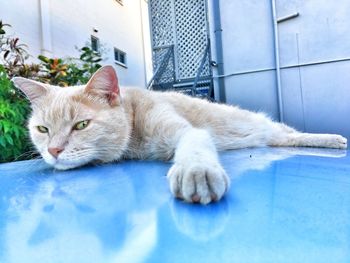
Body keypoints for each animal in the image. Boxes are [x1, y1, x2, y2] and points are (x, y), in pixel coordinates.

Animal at [13, 65, 348, 205]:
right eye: (42, 129)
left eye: (81, 125)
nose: (53, 151)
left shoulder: (184, 131)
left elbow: (194, 146)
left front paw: (197, 171)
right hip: (274, 137)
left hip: (274, 128)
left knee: (294, 132)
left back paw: (334, 139)